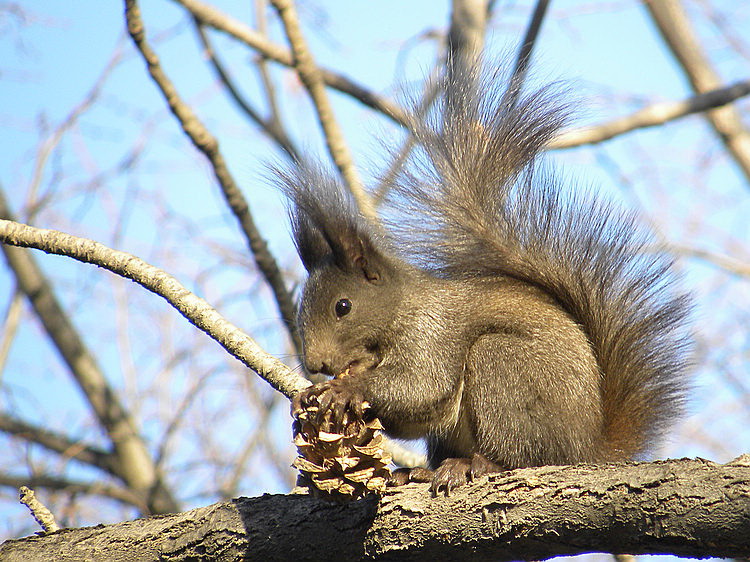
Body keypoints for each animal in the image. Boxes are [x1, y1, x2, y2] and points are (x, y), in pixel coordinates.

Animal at [280, 62, 692, 490]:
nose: (317, 364)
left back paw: (476, 465)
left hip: (503, 369)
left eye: (343, 306)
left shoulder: (432, 335)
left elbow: (422, 387)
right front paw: (313, 394)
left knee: (519, 455)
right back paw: (419, 471)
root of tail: (585, 450)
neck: (400, 310)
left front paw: (345, 387)